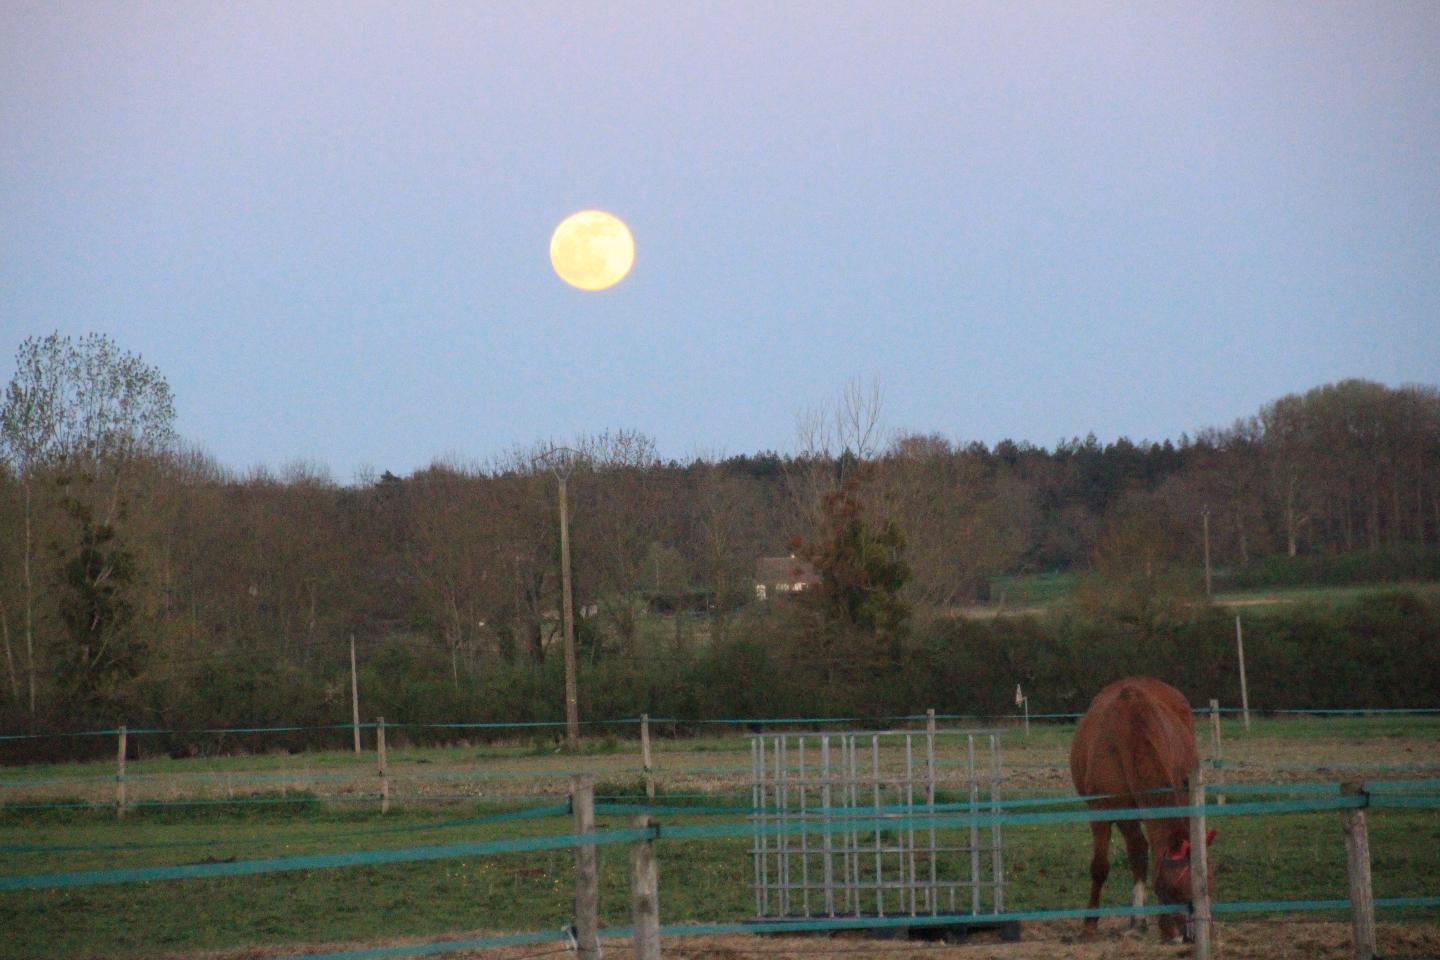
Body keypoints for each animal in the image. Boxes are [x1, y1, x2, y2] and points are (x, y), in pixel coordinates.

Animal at [1071, 679, 1215, 944]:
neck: (1129, 732)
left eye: (1208, 885)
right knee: (1137, 850)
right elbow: (1100, 867)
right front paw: (1089, 926)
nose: (1191, 935)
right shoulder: (1102, 811)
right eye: (1176, 889)